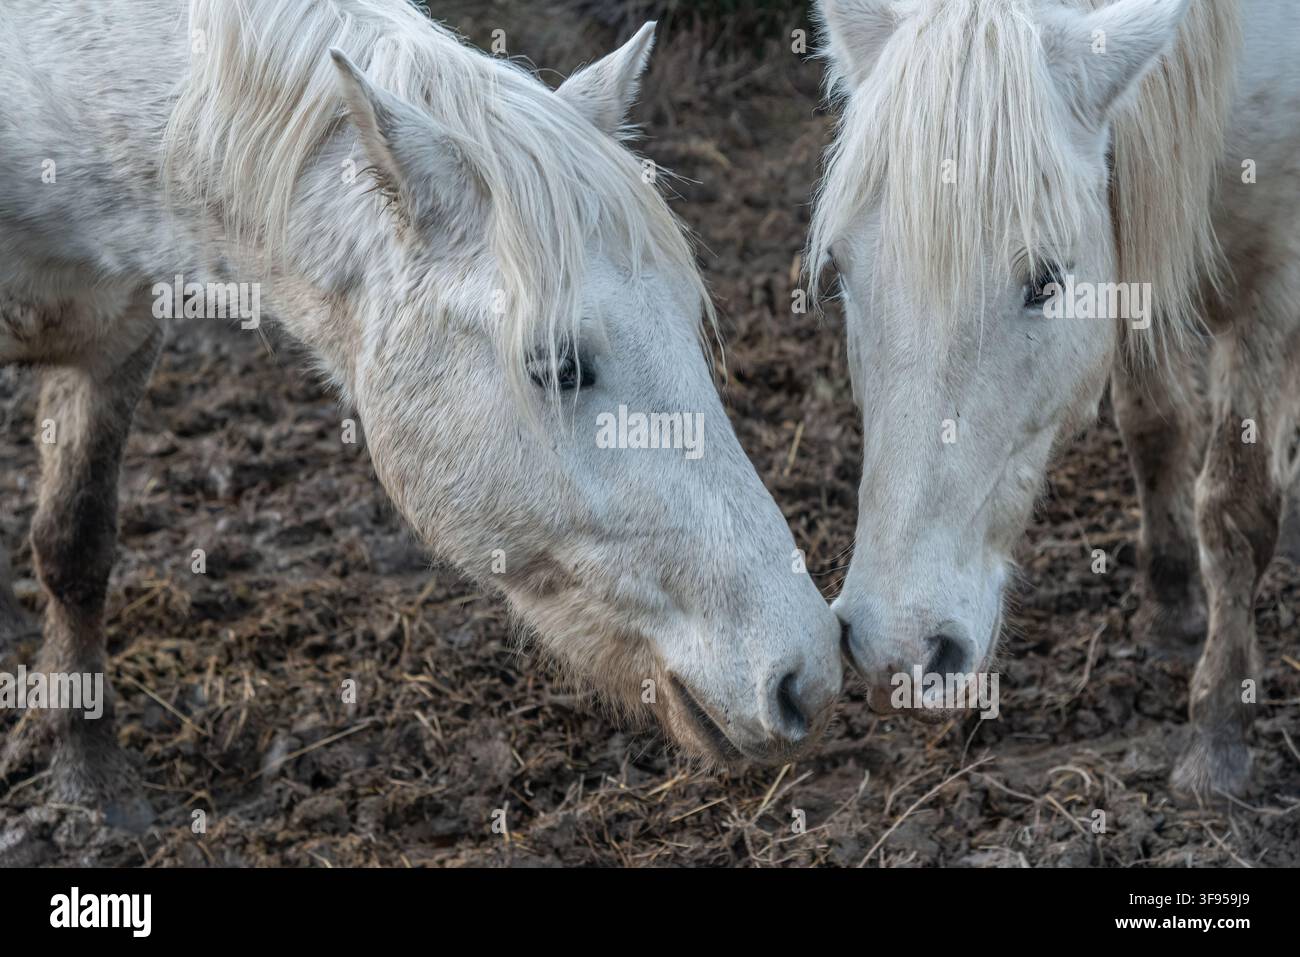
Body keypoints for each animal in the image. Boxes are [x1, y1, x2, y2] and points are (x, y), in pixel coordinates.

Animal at [809, 0, 1299, 798]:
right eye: (841, 272)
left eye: (1044, 280)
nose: (900, 647)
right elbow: (1155, 427)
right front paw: (1171, 609)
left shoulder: (1275, 283)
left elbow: (1234, 508)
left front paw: (1219, 733)